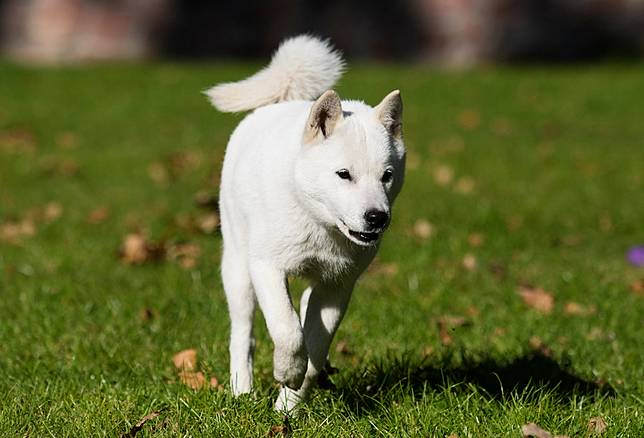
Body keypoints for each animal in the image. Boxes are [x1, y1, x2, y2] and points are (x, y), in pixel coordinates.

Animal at [206, 35, 406, 414]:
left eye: (387, 176)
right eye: (344, 174)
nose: (377, 217)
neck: (318, 223)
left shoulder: (338, 285)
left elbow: (314, 343)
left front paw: (288, 407)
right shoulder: (266, 267)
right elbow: (287, 330)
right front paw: (288, 372)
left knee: (304, 309)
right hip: (237, 268)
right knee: (243, 334)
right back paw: (242, 390)